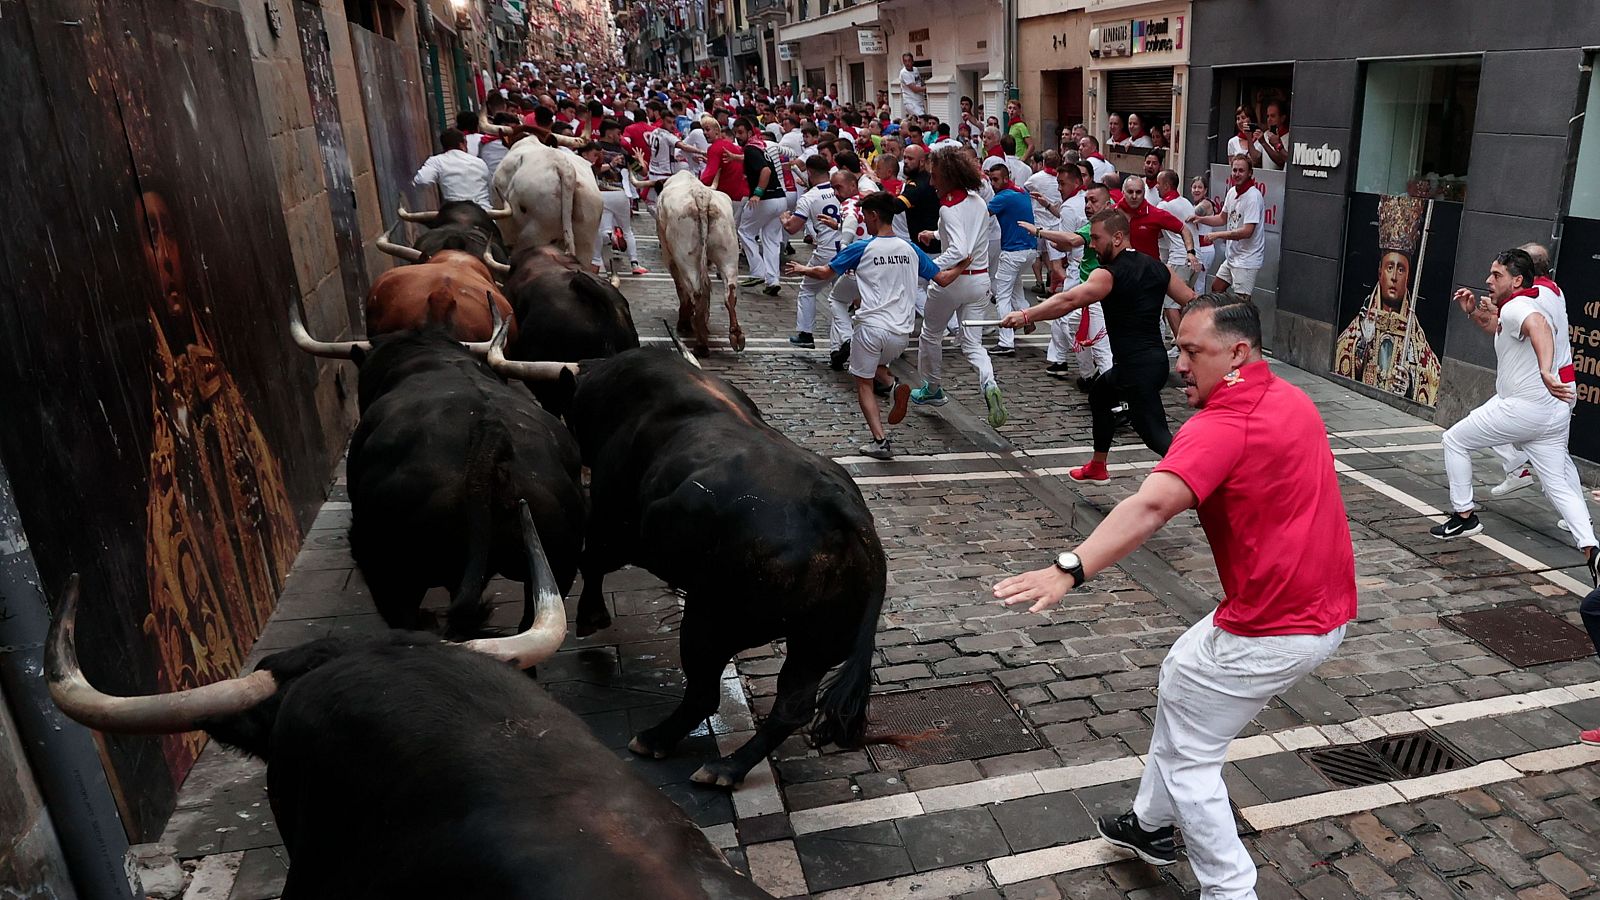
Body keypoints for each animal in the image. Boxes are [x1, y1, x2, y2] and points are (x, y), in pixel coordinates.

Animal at [560, 347, 889, 781]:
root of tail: (838, 507)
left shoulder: (612, 526)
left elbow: (589, 561)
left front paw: (590, 616)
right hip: (815, 644)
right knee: (792, 706)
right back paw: (728, 767)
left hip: (710, 621)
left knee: (703, 693)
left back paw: (658, 742)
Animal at [656, 169, 742, 352]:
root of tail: (701, 195)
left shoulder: (669, 256)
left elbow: (681, 287)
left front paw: (686, 320)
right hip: (728, 252)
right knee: (730, 292)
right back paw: (735, 335)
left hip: (685, 258)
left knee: (695, 291)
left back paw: (700, 340)